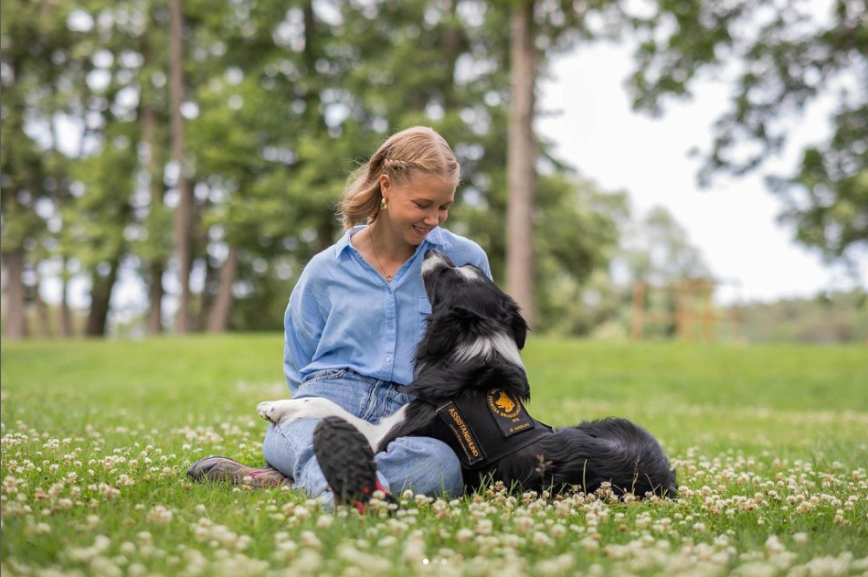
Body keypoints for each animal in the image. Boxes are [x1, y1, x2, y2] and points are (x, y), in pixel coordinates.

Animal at [258, 250, 680, 498]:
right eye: (469, 269)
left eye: (447, 275)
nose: (432, 248)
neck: (479, 339)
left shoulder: (385, 433)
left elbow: (327, 406)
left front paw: (276, 407)